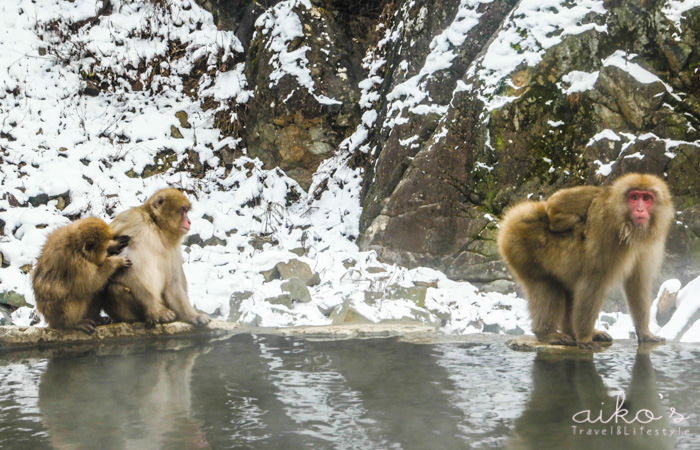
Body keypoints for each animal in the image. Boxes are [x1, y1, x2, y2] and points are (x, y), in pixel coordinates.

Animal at [102, 186, 211, 326]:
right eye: (182, 210)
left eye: (187, 211)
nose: (189, 221)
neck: (156, 227)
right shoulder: (132, 220)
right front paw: (158, 311)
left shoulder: (173, 248)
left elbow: (173, 283)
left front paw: (193, 315)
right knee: (115, 288)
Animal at [498, 174, 672, 350]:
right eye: (634, 197)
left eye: (646, 198)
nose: (640, 210)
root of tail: (516, 214)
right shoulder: (606, 229)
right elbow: (593, 280)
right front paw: (584, 339)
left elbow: (637, 283)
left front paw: (645, 333)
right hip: (521, 247)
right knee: (546, 285)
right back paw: (547, 334)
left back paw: (573, 332)